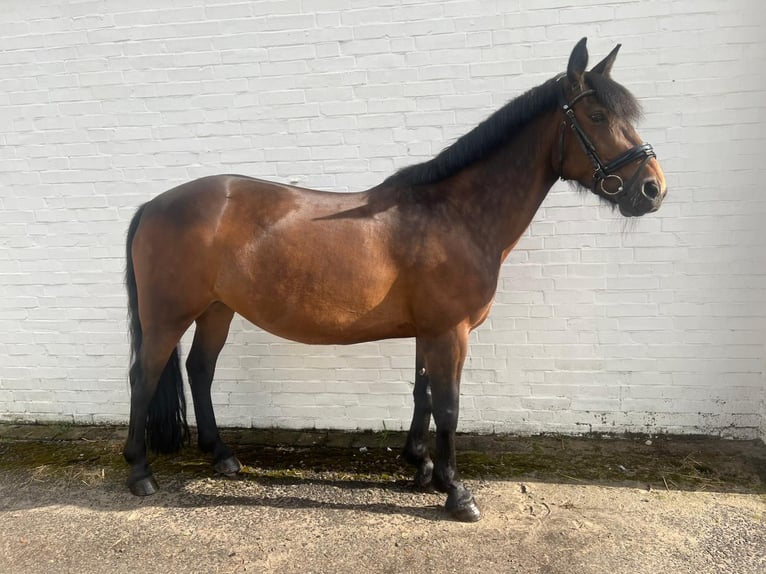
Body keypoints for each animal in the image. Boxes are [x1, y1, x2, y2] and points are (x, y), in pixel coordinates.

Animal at [122, 38, 666, 522]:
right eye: (597, 117)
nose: (652, 189)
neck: (455, 215)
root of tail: (152, 204)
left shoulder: (430, 331)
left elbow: (423, 394)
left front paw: (423, 468)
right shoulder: (450, 331)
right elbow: (449, 405)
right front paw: (457, 492)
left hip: (218, 309)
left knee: (200, 370)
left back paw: (222, 455)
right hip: (168, 314)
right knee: (143, 376)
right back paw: (139, 473)